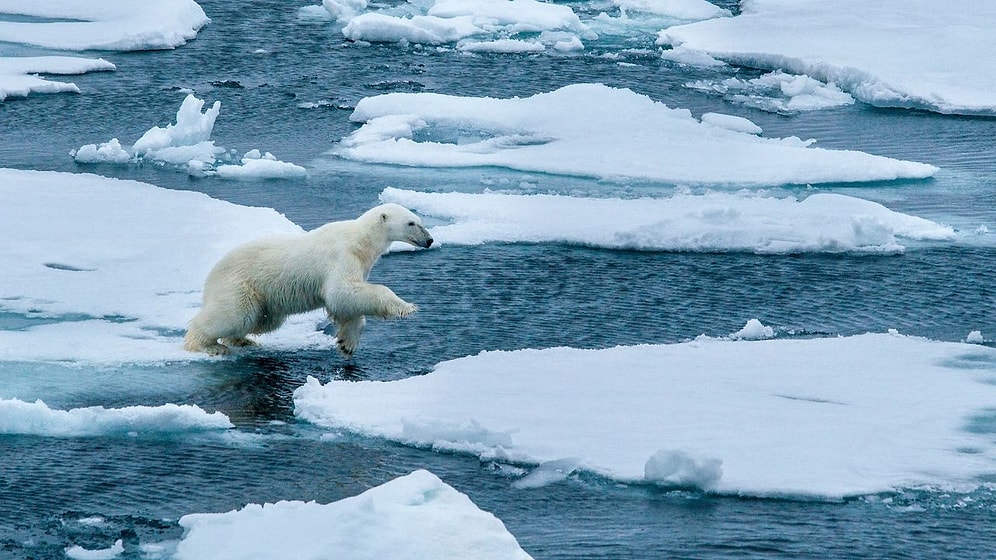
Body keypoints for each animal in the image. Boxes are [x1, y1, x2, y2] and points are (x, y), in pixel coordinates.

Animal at [185, 203, 434, 356]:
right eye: (412, 223)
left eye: (419, 220)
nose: (430, 240)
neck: (360, 241)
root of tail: (211, 277)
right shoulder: (341, 257)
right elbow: (342, 292)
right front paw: (407, 307)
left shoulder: (360, 264)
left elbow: (347, 304)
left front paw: (347, 343)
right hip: (240, 284)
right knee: (233, 315)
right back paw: (208, 345)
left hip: (263, 299)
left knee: (261, 320)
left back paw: (242, 340)